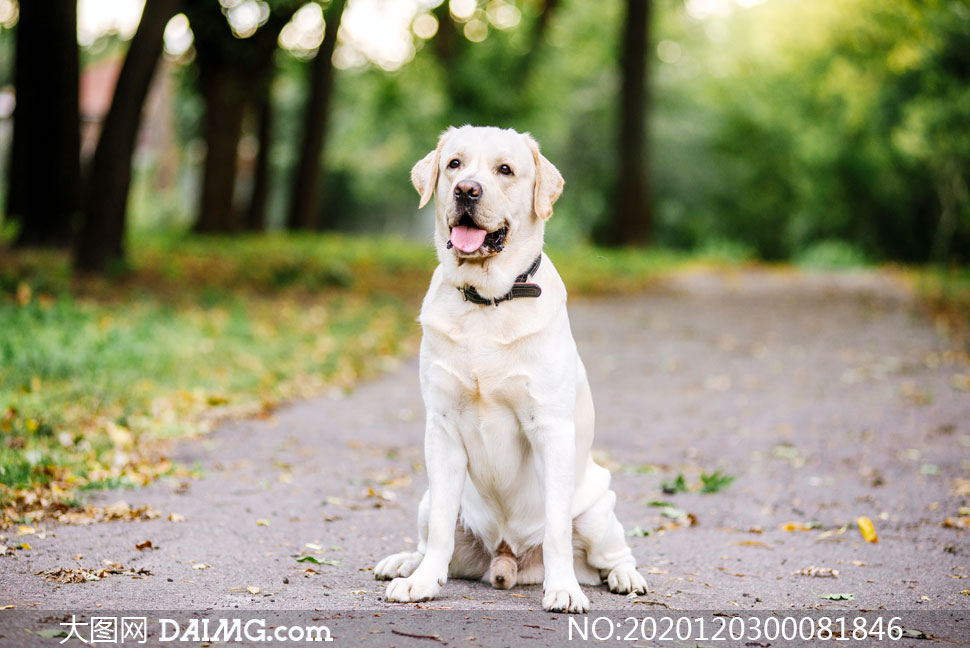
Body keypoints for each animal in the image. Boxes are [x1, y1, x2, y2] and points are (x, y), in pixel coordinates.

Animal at [374, 123, 648, 612]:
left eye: (505, 169)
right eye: (454, 164)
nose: (466, 190)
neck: (488, 301)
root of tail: (506, 559)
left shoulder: (550, 429)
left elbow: (557, 530)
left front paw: (563, 589)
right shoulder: (441, 428)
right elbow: (441, 529)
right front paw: (421, 582)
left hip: (599, 509)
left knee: (613, 554)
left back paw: (623, 577)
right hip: (428, 497)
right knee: (431, 539)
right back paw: (406, 563)